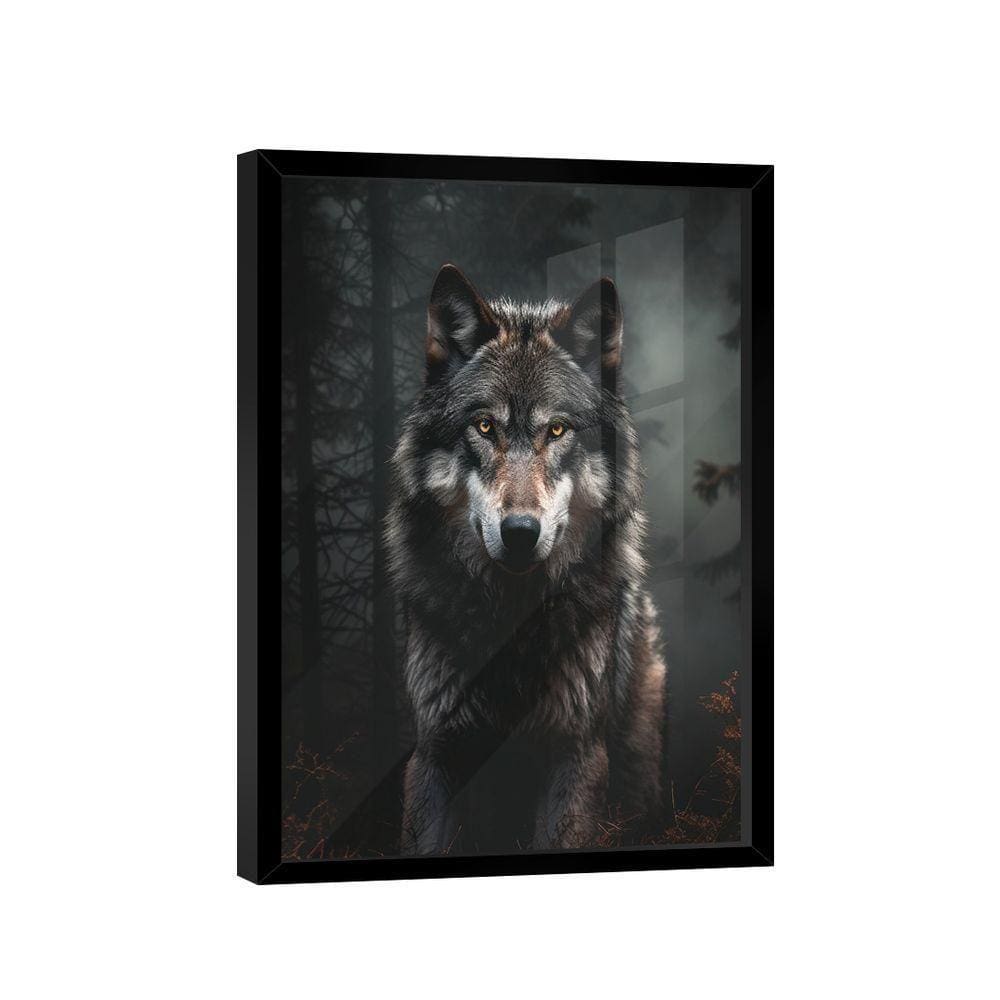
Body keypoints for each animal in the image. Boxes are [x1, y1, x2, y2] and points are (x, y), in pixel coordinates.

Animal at [385, 264, 666, 855]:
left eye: (556, 429)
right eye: (484, 426)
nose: (519, 532)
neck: (511, 620)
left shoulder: (576, 752)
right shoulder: (436, 752)